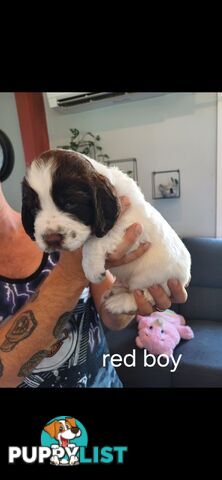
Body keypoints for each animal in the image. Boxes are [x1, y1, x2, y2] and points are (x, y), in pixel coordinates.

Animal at [22, 149, 191, 322]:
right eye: (34, 208)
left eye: (70, 203)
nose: (51, 239)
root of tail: (185, 278)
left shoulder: (128, 225)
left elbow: (94, 241)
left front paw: (92, 269)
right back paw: (115, 290)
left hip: (153, 278)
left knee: (143, 294)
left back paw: (119, 302)